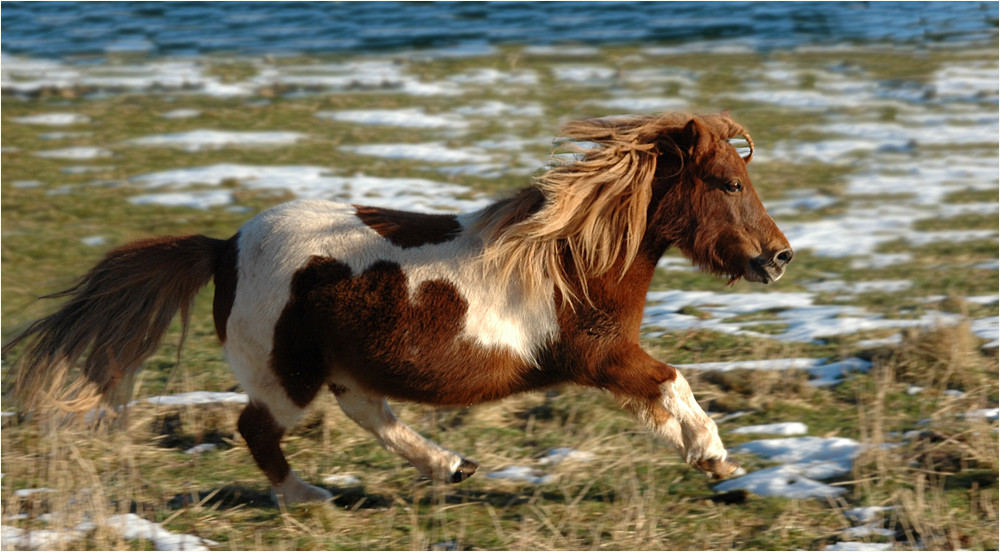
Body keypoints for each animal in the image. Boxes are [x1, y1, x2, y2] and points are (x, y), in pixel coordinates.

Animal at [5, 112, 788, 504]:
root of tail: (223, 247)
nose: (778, 257)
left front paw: (716, 462)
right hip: (286, 377)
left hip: (338, 366)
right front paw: (718, 461)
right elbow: (671, 385)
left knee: (365, 410)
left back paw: (450, 467)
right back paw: (308, 498)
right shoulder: (598, 355)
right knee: (259, 427)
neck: (569, 259)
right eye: (726, 181)